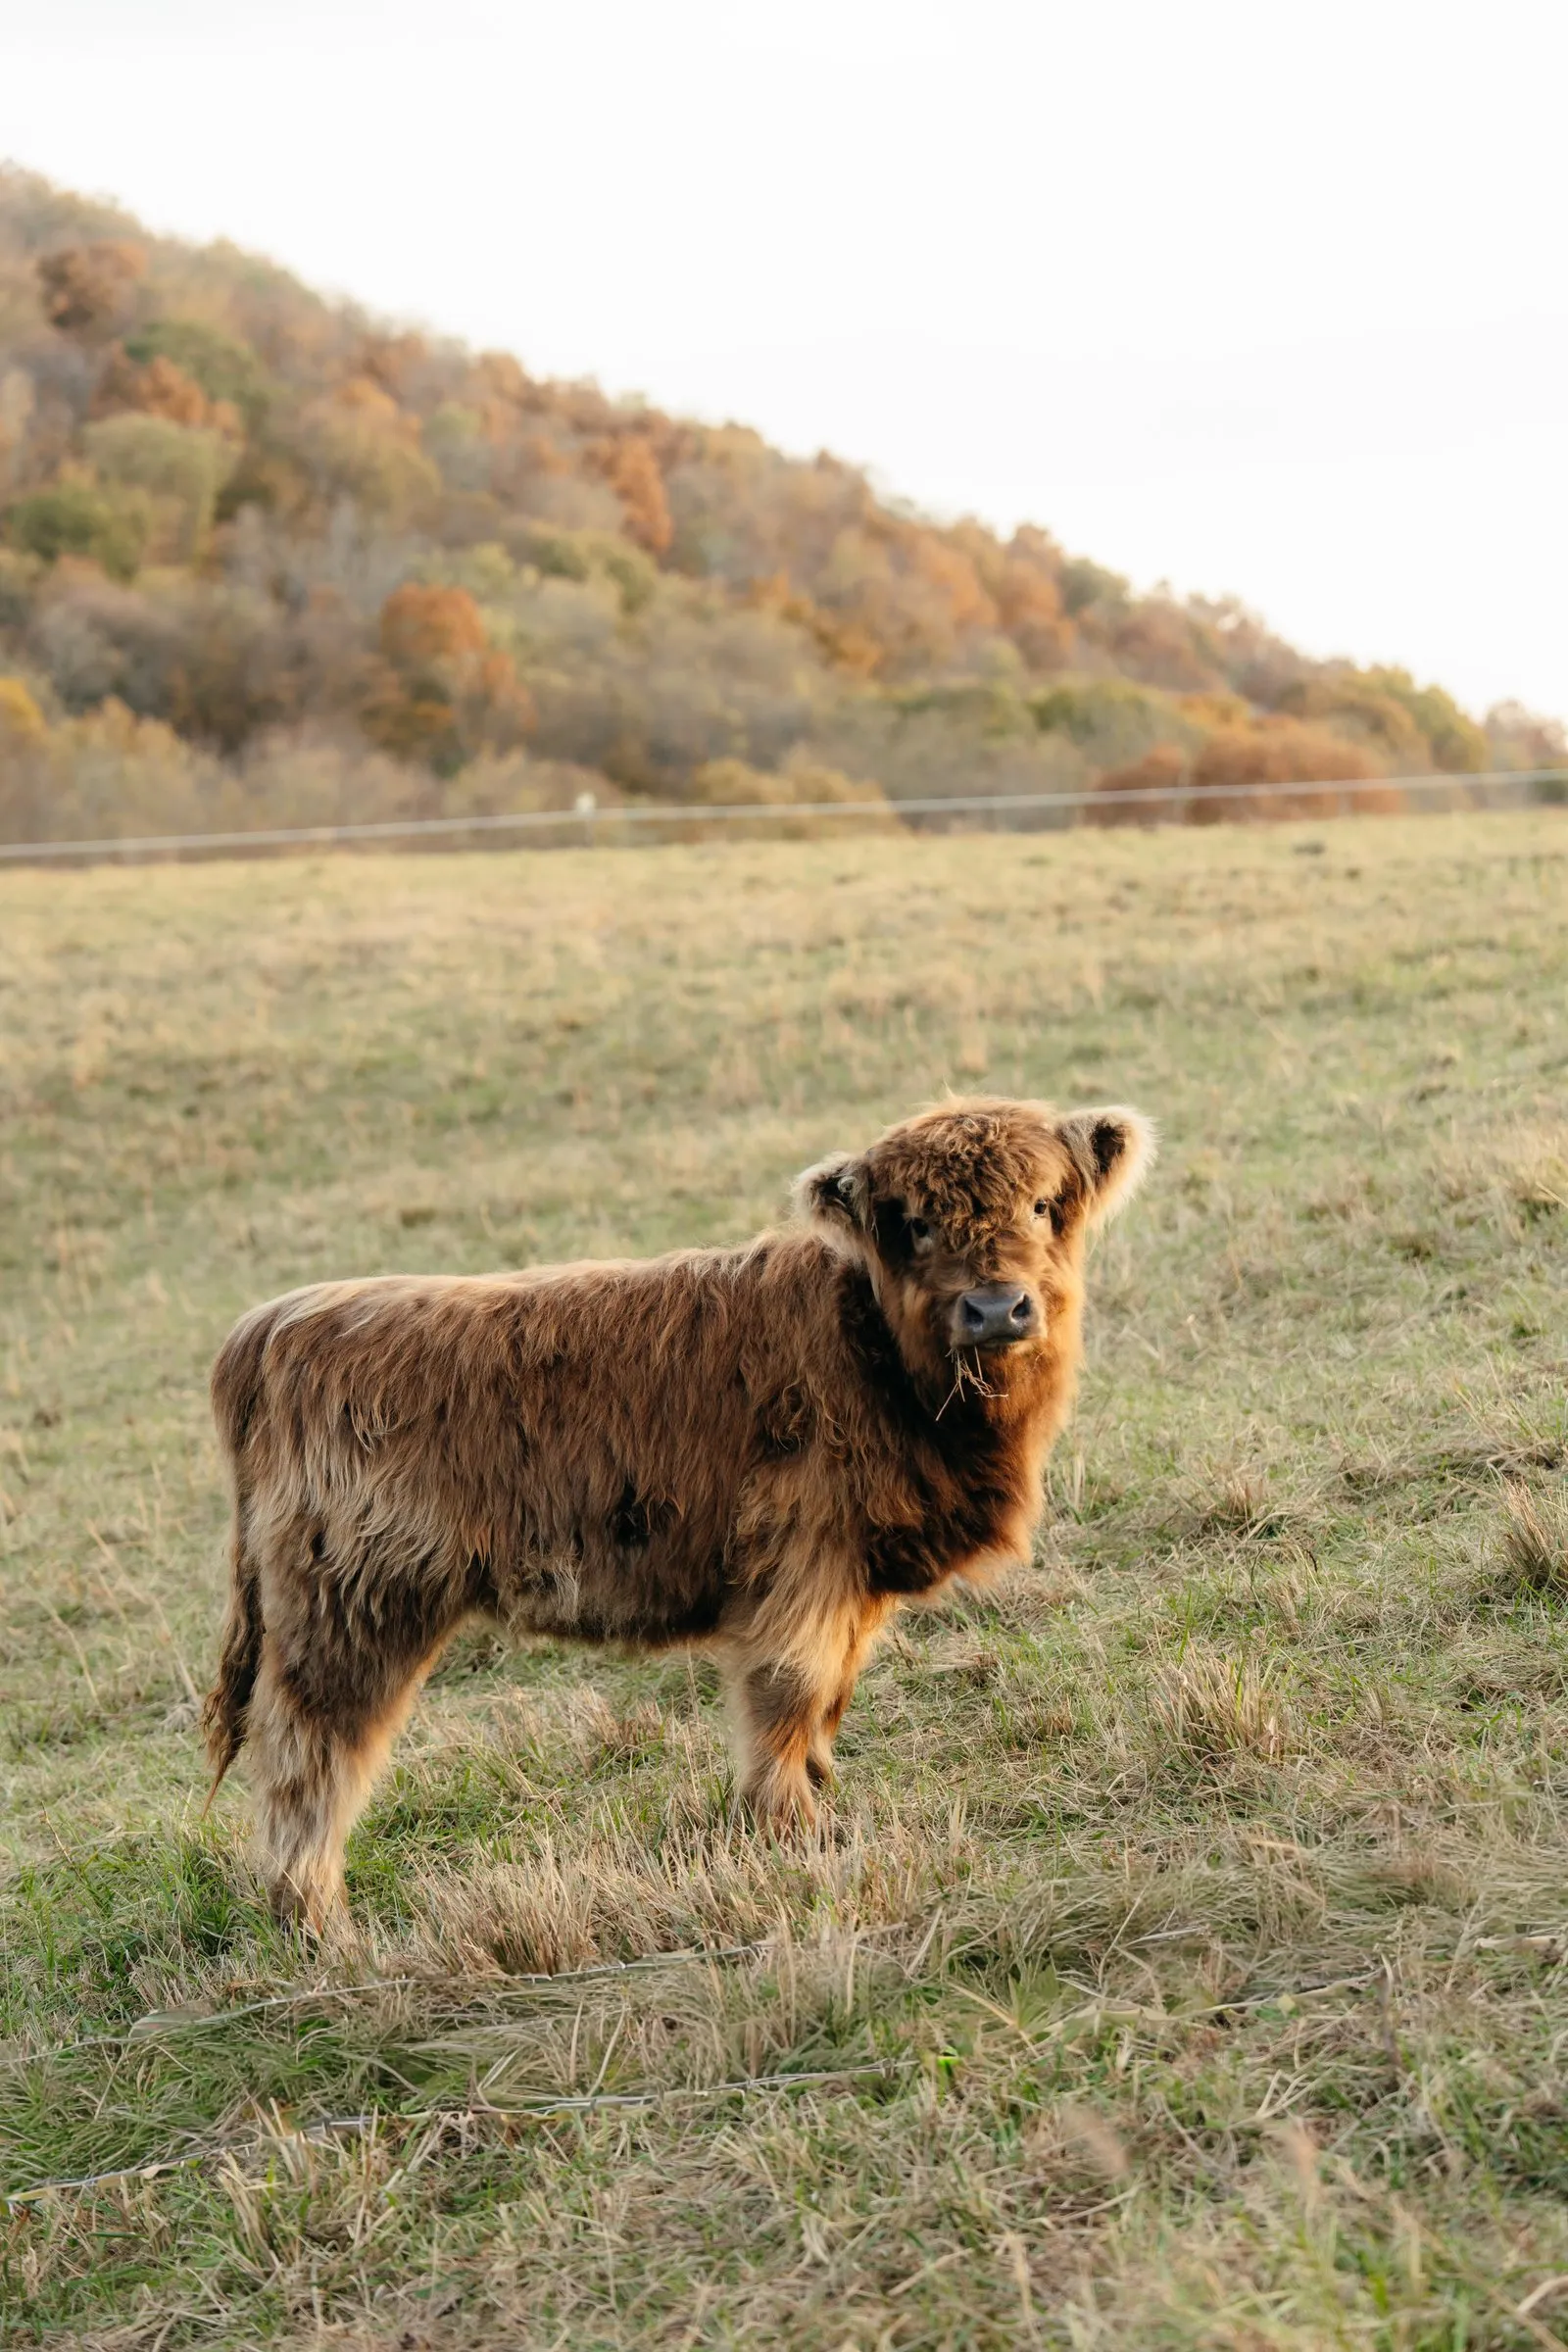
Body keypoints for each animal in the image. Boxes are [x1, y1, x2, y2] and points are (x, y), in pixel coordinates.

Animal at [201, 1095, 1153, 1927]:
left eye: (1042, 1204)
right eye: (914, 1222)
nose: (994, 1308)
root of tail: (277, 1322)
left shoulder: (854, 1580)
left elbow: (831, 1696)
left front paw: (820, 1799)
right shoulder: (799, 1560)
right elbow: (790, 1692)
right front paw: (791, 1834)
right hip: (349, 1610)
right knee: (311, 1754)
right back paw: (314, 1919)